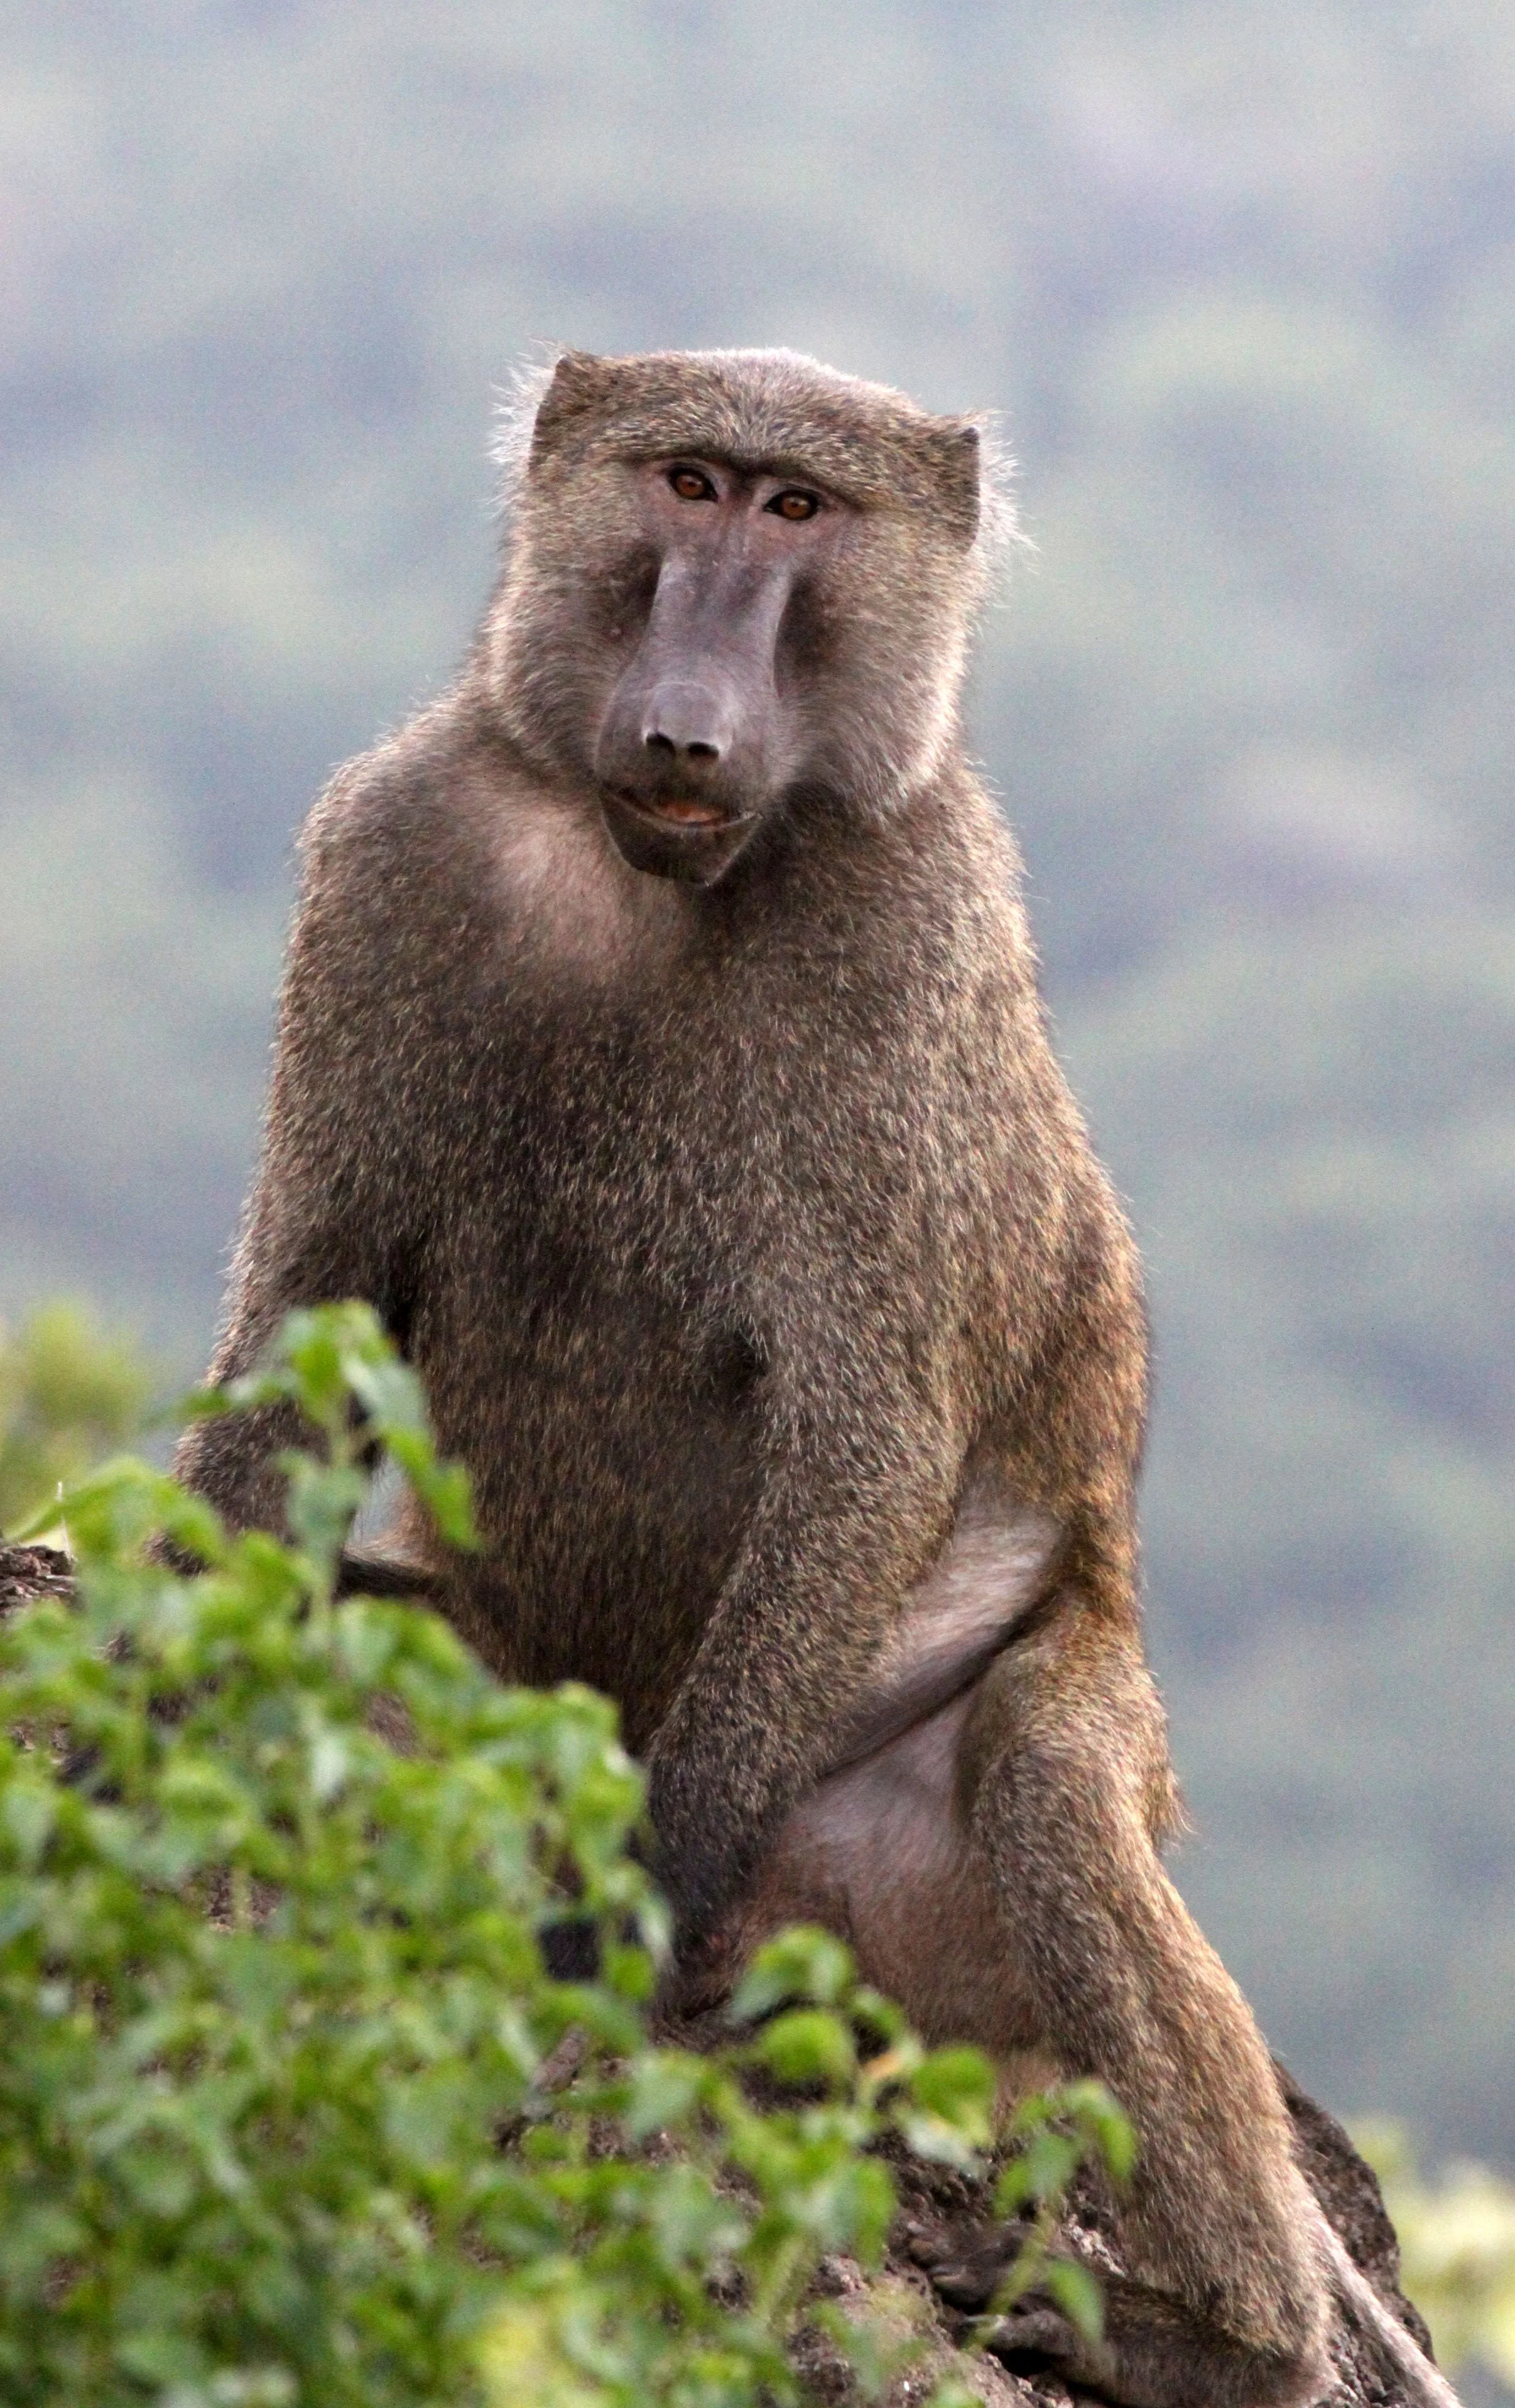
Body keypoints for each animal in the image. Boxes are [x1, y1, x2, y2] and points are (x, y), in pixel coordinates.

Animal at [172, 348, 1458, 2408]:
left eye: (798, 513)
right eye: (687, 484)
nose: (688, 727)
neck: (652, 880)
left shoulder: (905, 949)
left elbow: (872, 1442)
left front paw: (616, 1919)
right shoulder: (388, 859)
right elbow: (305, 1315)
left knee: (1038, 1773)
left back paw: (1226, 2339)